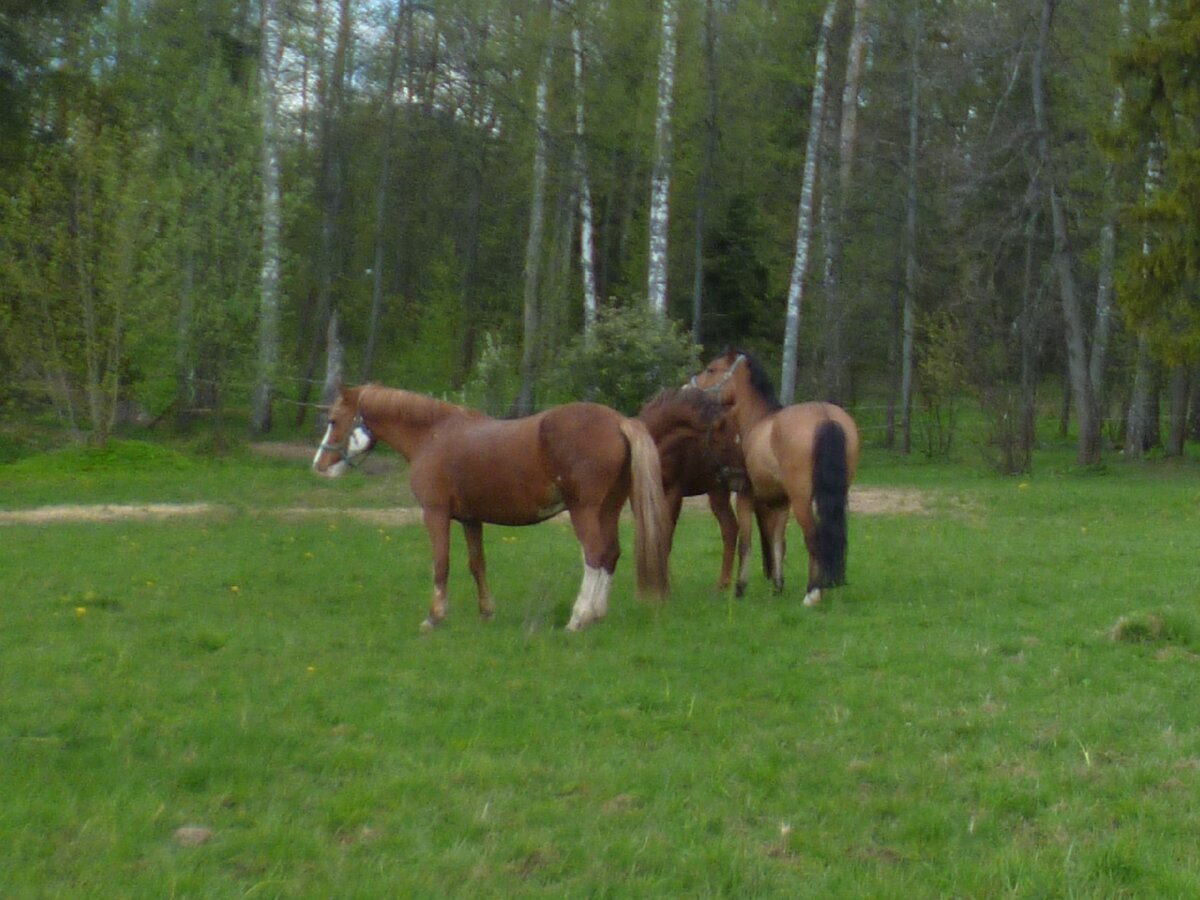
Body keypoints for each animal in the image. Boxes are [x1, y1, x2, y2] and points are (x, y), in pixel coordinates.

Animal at [314, 384, 676, 628]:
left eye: (332, 420)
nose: (318, 466)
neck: (432, 436)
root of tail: (617, 421)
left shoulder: (435, 513)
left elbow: (441, 563)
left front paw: (434, 617)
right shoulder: (470, 519)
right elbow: (478, 564)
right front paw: (486, 612)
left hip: (584, 510)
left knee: (595, 555)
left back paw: (579, 617)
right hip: (608, 509)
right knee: (611, 554)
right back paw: (597, 614)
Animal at [633, 388, 744, 592]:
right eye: (725, 447)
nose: (741, 479)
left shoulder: (673, 493)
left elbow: (665, 535)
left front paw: (663, 586)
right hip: (717, 491)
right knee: (730, 528)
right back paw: (723, 585)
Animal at [691, 350, 859, 607]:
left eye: (711, 369)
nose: (687, 388)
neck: (757, 421)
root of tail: (825, 416)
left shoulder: (746, 496)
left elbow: (746, 542)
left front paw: (740, 588)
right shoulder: (781, 502)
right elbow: (777, 542)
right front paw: (778, 587)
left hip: (802, 500)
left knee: (814, 538)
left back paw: (812, 593)